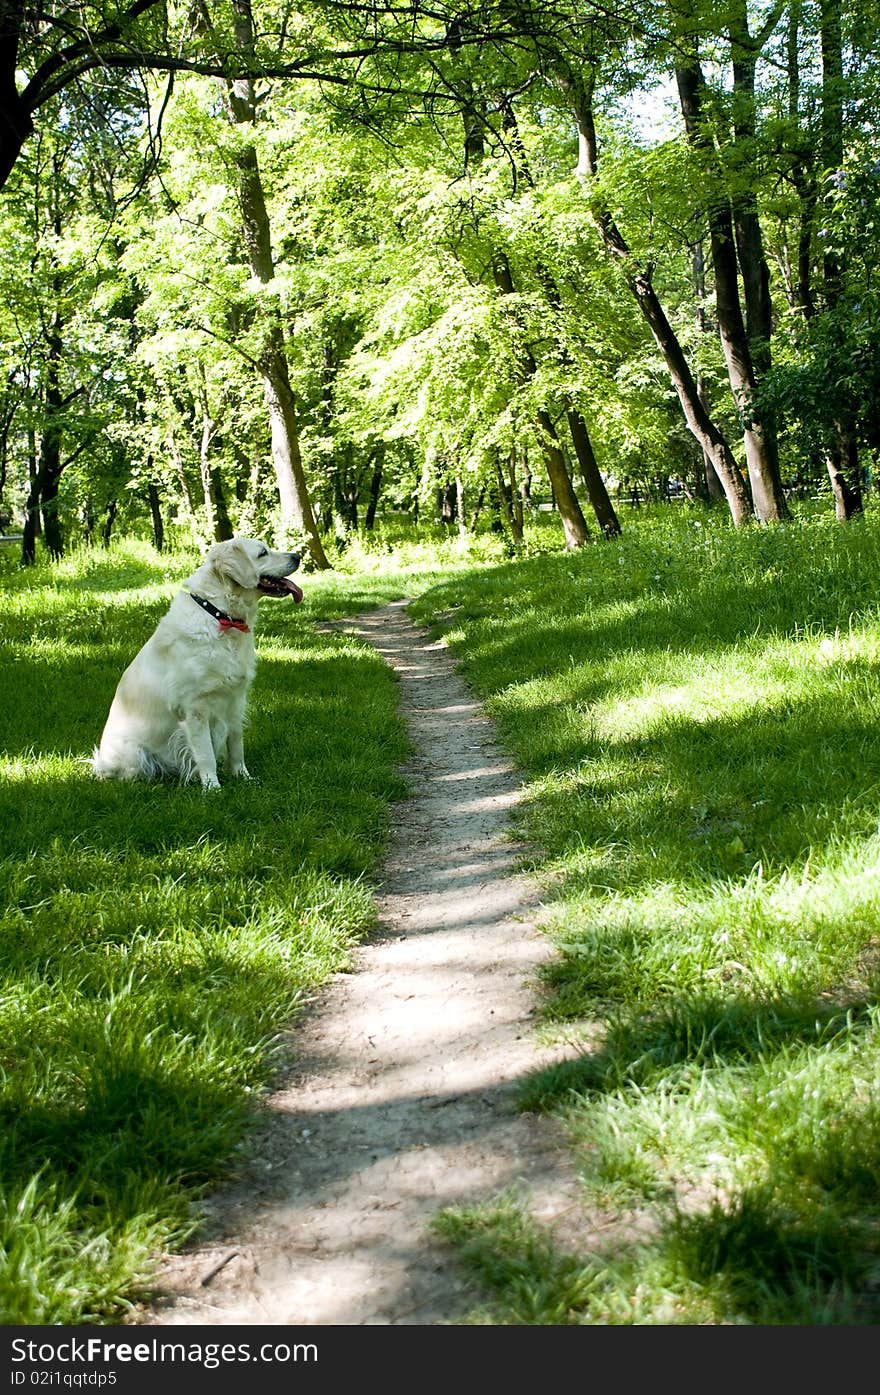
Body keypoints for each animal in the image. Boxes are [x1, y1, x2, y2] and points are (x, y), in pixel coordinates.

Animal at [89, 532, 302, 792]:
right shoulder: (195, 707)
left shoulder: (235, 700)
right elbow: (205, 754)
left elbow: (236, 745)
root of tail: (99, 763)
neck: (221, 616)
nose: (298, 556)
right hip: (133, 752)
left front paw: (243, 777)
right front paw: (212, 788)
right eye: (263, 553)